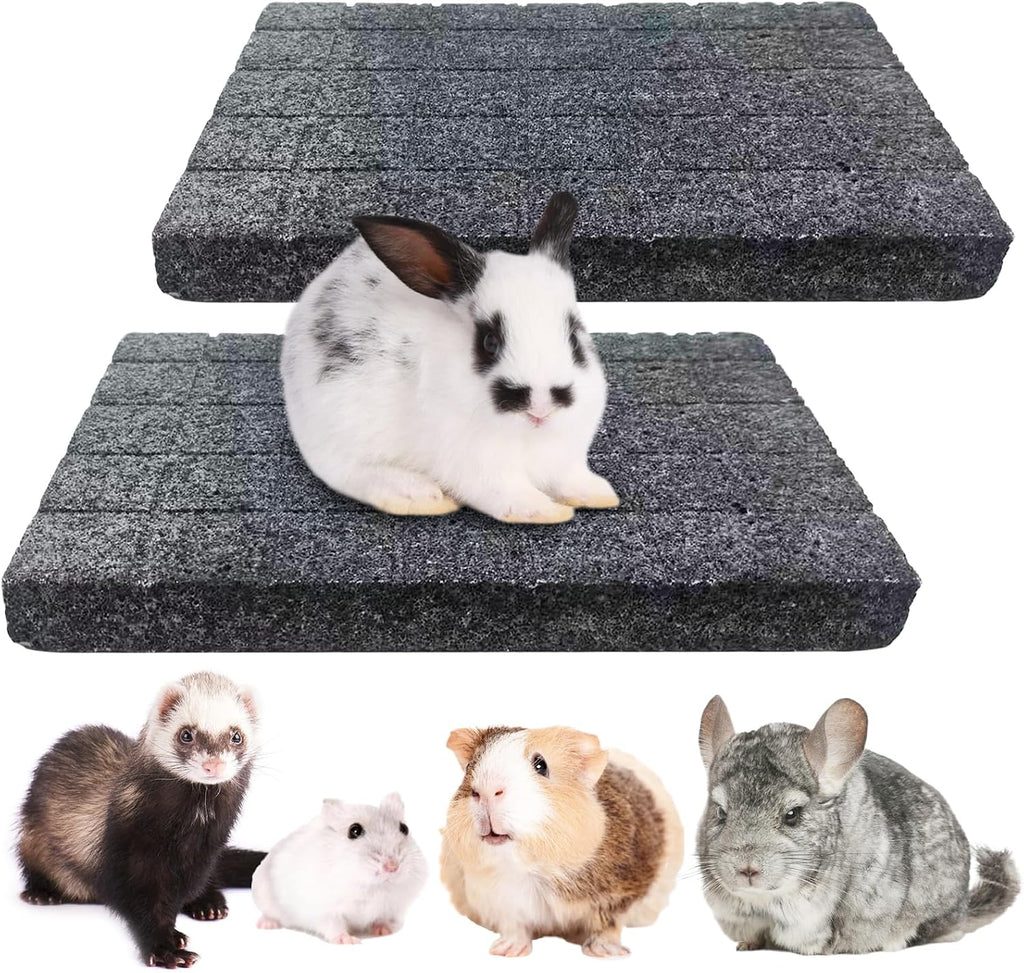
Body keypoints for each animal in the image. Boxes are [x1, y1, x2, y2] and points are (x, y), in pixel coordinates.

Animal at [17, 672, 264, 968]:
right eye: (186, 734)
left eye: (236, 735)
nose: (213, 765)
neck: (187, 836)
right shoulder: (132, 854)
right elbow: (144, 907)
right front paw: (166, 948)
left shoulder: (205, 855)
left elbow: (181, 894)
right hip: (32, 841)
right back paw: (42, 893)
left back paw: (209, 904)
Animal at [252, 793, 426, 943]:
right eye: (354, 830)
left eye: (404, 828)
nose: (392, 867)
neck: (369, 884)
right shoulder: (324, 911)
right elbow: (334, 926)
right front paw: (349, 941)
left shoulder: (390, 908)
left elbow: (381, 919)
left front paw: (384, 931)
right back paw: (267, 924)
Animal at [280, 190, 618, 523]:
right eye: (489, 342)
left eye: (574, 338)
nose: (540, 407)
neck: (529, 436)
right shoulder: (477, 466)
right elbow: (507, 494)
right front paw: (548, 511)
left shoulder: (564, 460)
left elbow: (570, 479)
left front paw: (600, 496)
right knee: (350, 471)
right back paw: (420, 496)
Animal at [440, 725, 684, 957]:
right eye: (470, 765)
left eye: (541, 766)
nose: (486, 791)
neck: (533, 870)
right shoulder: (498, 902)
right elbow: (515, 928)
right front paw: (506, 951)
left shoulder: (621, 895)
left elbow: (607, 925)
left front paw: (604, 953)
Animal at [696, 696, 1020, 954]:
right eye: (721, 812)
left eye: (792, 814)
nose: (746, 869)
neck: (767, 901)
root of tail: (963, 906)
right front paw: (745, 946)